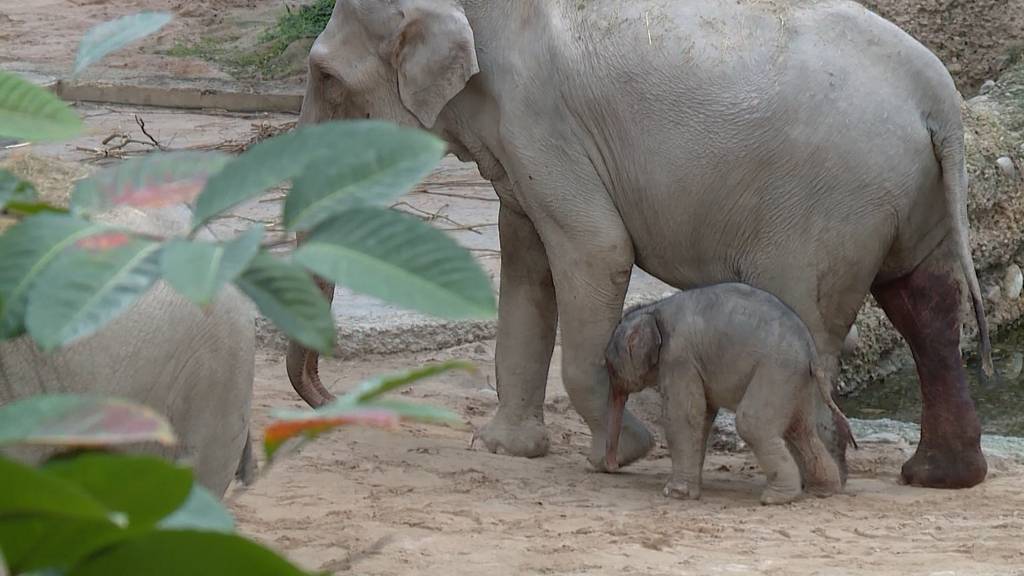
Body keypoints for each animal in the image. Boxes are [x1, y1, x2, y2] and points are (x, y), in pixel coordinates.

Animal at [602, 280, 851, 502]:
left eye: (611, 367)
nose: (612, 466)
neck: (653, 309)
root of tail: (811, 351)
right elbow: (702, 416)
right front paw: (689, 491)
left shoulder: (678, 357)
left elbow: (683, 415)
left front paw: (675, 493)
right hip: (797, 381)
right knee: (801, 430)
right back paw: (823, 491)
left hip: (777, 371)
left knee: (753, 424)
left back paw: (776, 498)